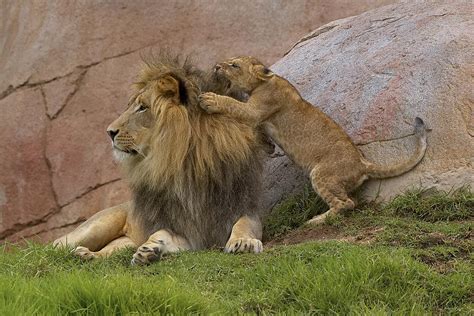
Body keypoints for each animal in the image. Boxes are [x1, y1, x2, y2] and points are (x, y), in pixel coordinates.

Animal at [53, 55, 266, 264]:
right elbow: (161, 233)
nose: (110, 132)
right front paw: (149, 248)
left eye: (142, 108)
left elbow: (244, 224)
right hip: (97, 225)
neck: (188, 164)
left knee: (109, 251)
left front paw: (244, 242)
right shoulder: (178, 227)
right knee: (55, 246)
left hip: (123, 243)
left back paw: (87, 255)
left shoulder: (241, 207)